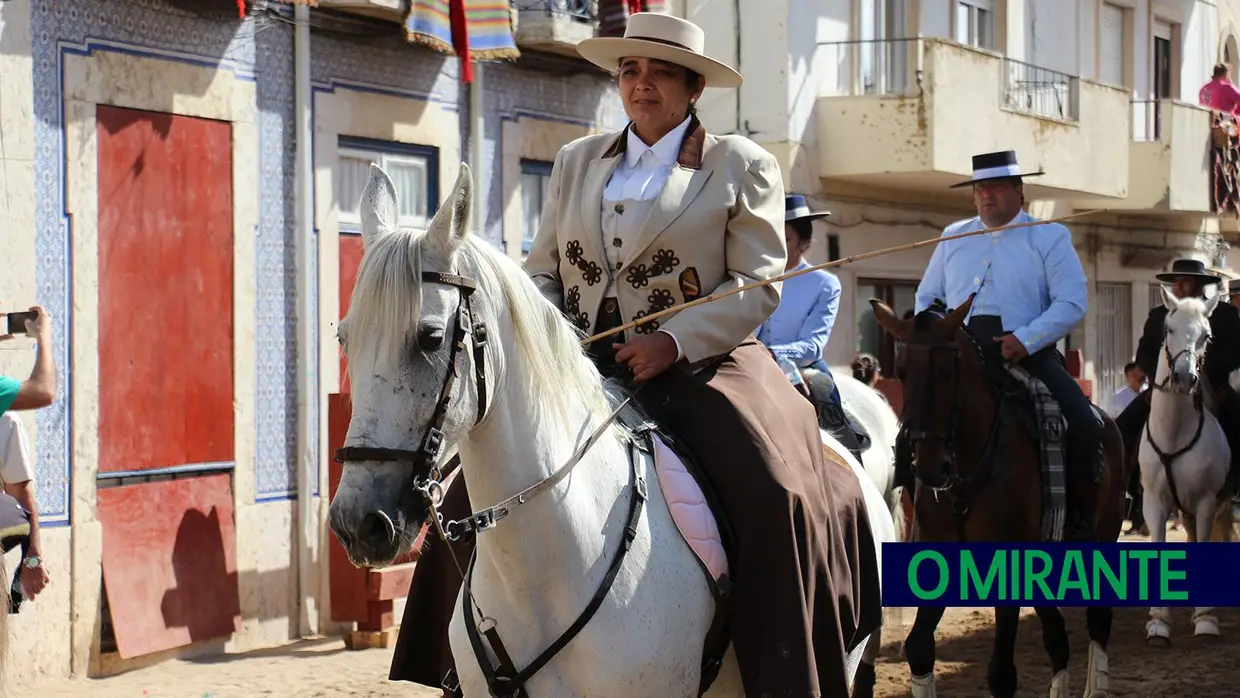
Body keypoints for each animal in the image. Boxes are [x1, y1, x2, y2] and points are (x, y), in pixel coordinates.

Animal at [872, 295, 1125, 698]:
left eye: (947, 369)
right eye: (901, 370)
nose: (930, 467)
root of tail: (1108, 422)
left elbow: (1002, 673)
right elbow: (919, 648)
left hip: (1101, 539)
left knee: (1098, 620)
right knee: (1057, 636)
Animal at [1135, 286, 1235, 649]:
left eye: (1206, 335)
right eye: (1168, 329)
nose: (1182, 378)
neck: (1175, 431)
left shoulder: (1205, 502)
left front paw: (1205, 619)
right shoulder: (1154, 503)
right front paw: (1158, 623)